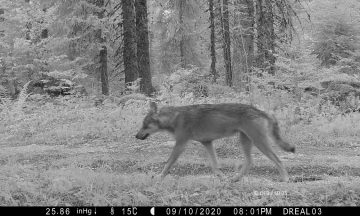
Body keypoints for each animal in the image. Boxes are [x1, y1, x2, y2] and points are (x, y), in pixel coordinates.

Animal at [135, 102, 296, 181]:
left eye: (144, 125)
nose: (136, 136)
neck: (174, 118)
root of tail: (262, 111)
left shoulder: (180, 144)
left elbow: (168, 163)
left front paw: (159, 177)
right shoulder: (207, 143)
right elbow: (214, 166)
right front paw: (222, 177)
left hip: (259, 142)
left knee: (278, 159)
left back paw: (285, 179)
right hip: (246, 141)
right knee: (250, 162)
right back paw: (235, 179)